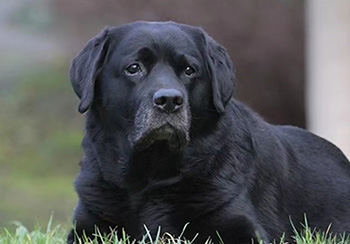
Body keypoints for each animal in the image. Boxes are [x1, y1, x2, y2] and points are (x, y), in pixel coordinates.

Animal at [67, 21, 348, 243]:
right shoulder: (87, 226)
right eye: (134, 68)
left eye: (189, 70)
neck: (151, 175)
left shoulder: (241, 227)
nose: (169, 100)